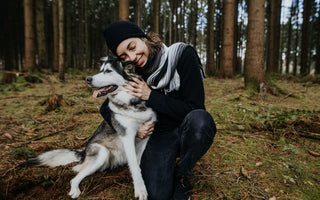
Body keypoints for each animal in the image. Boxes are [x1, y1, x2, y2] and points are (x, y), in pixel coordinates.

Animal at [23, 57, 156, 199]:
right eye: (100, 70)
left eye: (108, 71)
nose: (88, 79)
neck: (134, 103)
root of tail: (84, 152)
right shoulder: (127, 137)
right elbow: (135, 166)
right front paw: (140, 190)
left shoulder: (145, 136)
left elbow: (138, 163)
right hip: (102, 153)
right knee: (75, 177)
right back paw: (75, 190)